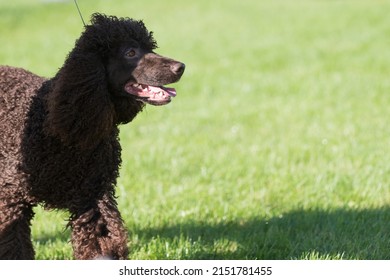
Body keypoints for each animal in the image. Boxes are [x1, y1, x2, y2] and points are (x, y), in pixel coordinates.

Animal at [0, 12, 185, 258]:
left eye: (150, 47)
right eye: (131, 52)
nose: (181, 67)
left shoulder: (93, 195)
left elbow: (101, 243)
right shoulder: (12, 199)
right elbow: (14, 248)